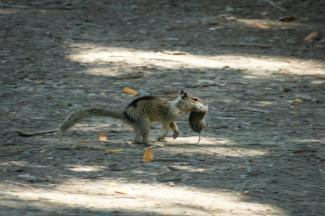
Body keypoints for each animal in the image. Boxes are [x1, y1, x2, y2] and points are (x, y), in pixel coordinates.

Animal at [17, 90, 206, 146]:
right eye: (195, 99)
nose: (204, 102)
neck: (177, 106)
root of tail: (125, 115)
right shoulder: (166, 116)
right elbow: (166, 126)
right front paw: (162, 136)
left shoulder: (172, 118)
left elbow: (173, 126)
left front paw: (175, 134)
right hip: (144, 122)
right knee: (143, 136)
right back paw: (150, 143)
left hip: (139, 124)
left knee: (136, 136)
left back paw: (139, 141)